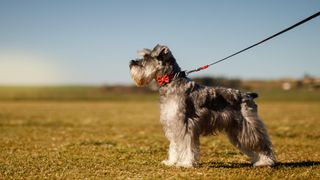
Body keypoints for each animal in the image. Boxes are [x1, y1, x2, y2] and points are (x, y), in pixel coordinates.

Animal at [129, 44, 276, 167]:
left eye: (147, 57)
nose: (131, 63)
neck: (171, 81)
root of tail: (248, 95)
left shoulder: (184, 125)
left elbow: (186, 146)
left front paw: (185, 163)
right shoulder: (173, 124)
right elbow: (174, 145)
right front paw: (171, 161)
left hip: (248, 127)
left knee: (263, 144)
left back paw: (266, 161)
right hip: (236, 132)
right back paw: (258, 161)